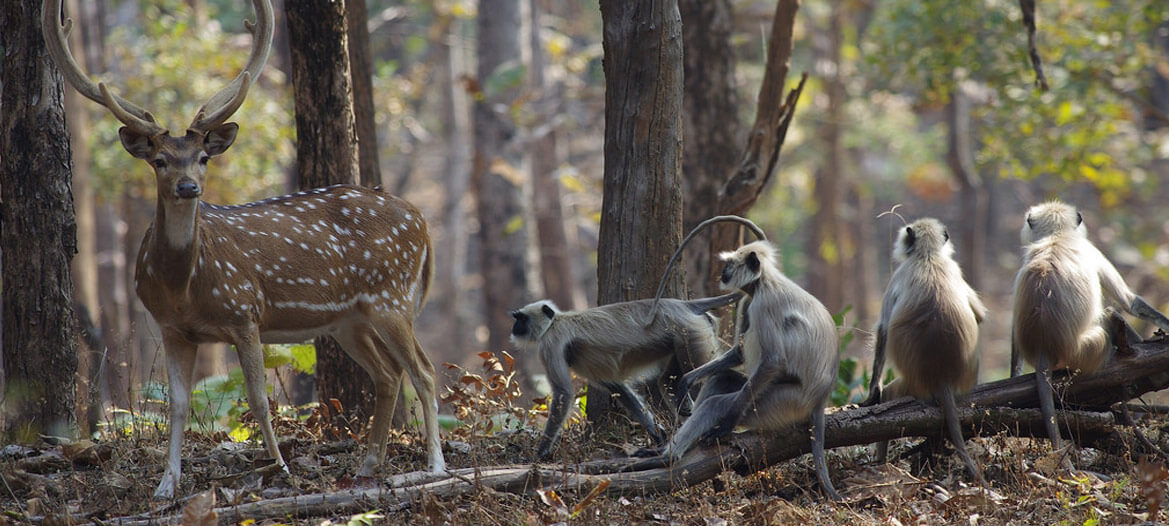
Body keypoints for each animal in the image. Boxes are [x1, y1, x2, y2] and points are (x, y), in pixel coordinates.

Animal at [43, 0, 444, 500]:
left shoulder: (244, 311)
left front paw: (280, 468)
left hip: (392, 297)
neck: (183, 287)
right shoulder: (171, 328)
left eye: (203, 158)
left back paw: (434, 465)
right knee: (388, 374)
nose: (189, 187)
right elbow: (177, 404)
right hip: (349, 319)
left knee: (425, 371)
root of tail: (421, 221)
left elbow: (257, 397)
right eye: (160, 161)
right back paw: (369, 464)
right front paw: (166, 486)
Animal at [509, 293, 738, 462]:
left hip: (691, 333)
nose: (514, 327)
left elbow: (563, 393)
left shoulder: (551, 342)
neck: (557, 320)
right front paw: (657, 434)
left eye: (521, 318)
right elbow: (617, 387)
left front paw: (540, 454)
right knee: (669, 382)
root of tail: (683, 305)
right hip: (682, 338)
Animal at [865, 216, 991, 483]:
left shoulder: (900, 274)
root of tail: (942, 376)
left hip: (913, 387)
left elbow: (883, 330)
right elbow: (979, 316)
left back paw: (880, 464)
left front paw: (873, 390)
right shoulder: (954, 267)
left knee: (889, 400)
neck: (927, 256)